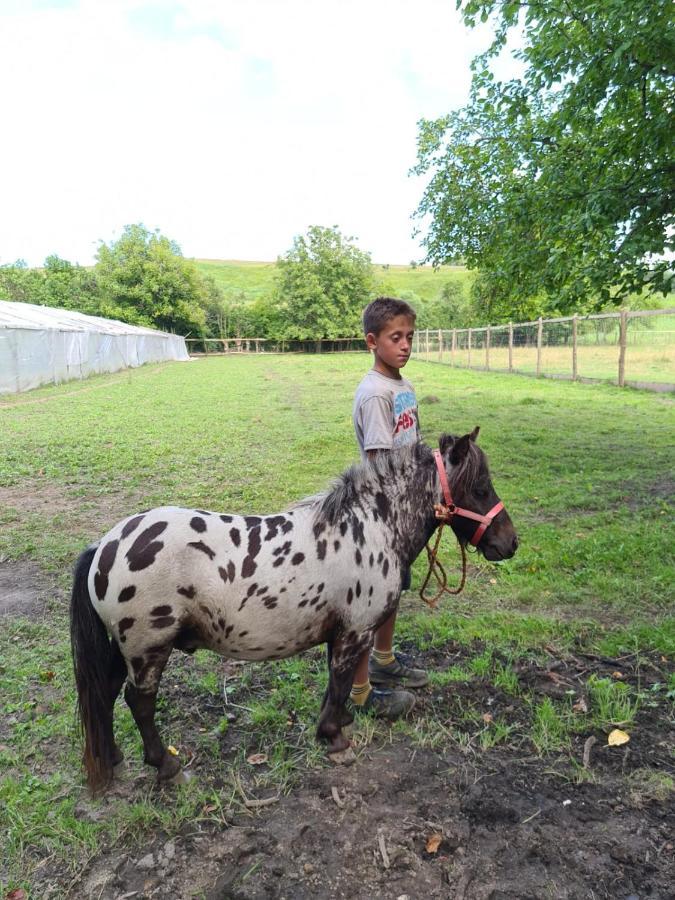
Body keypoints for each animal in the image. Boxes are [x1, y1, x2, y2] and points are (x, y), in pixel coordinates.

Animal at [71, 428, 520, 788]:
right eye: (480, 488)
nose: (510, 543)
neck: (368, 529)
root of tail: (104, 545)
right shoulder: (355, 632)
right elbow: (340, 684)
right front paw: (335, 739)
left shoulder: (340, 633)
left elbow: (336, 686)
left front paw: (336, 726)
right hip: (148, 650)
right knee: (139, 702)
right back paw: (165, 766)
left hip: (123, 651)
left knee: (106, 694)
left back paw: (114, 759)